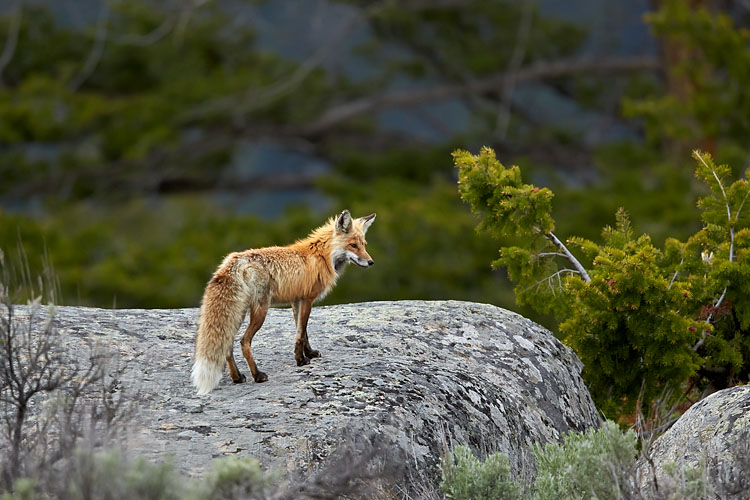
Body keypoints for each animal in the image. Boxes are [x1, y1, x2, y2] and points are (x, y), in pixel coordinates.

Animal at [191, 209, 376, 395]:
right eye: (353, 245)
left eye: (364, 245)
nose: (371, 262)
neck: (322, 256)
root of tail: (235, 259)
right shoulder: (307, 299)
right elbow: (300, 334)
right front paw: (300, 360)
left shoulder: (296, 301)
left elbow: (303, 333)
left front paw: (309, 354)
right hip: (260, 310)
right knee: (244, 342)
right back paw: (257, 375)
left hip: (239, 312)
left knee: (227, 345)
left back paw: (237, 377)